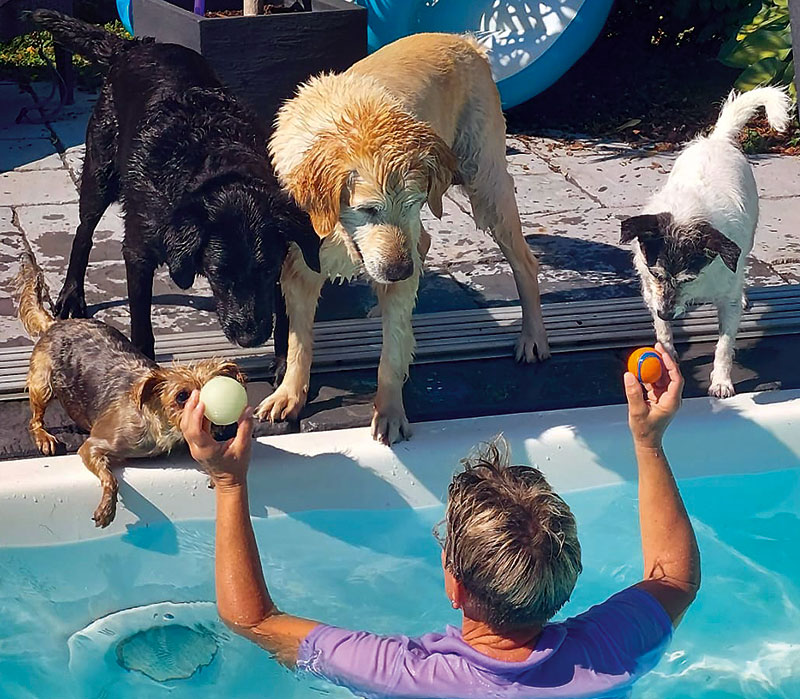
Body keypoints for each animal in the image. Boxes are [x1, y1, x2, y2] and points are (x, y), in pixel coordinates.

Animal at [14, 254, 247, 528]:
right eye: (182, 396)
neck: (160, 428)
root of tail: (55, 324)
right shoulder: (93, 446)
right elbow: (110, 477)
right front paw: (107, 507)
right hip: (43, 383)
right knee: (35, 418)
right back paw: (44, 436)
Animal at [29, 10, 320, 358]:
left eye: (266, 271)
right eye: (219, 274)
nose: (249, 338)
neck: (216, 163)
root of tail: (133, 46)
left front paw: (283, 363)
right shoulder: (138, 251)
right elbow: (141, 324)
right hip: (99, 174)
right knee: (83, 233)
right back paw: (72, 294)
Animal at [256, 31, 552, 442]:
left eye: (412, 203)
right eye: (368, 210)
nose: (398, 272)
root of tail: (464, 42)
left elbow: (392, 352)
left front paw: (389, 411)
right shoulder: (300, 267)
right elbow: (299, 343)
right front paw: (289, 394)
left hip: (485, 181)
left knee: (523, 260)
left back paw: (532, 336)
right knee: (424, 244)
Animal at [620, 86, 792, 400]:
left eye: (688, 279)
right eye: (656, 274)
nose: (666, 312)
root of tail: (717, 140)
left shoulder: (727, 301)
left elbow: (724, 345)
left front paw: (722, 381)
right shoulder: (653, 292)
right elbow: (663, 332)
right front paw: (668, 356)